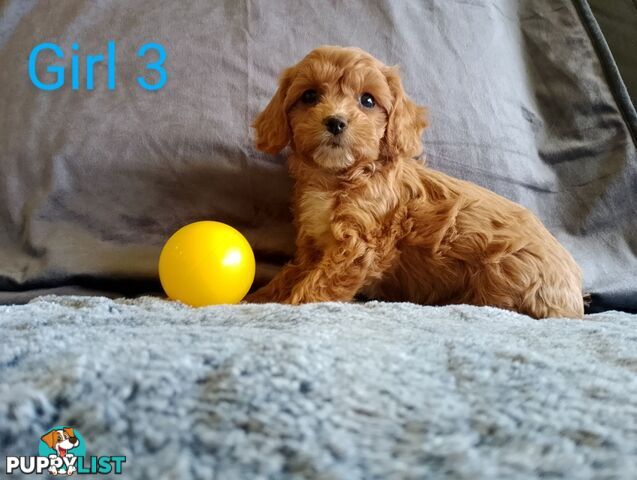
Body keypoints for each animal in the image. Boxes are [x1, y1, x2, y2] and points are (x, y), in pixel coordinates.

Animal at [246, 45, 584, 318]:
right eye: (310, 96)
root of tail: (575, 296)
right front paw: (259, 298)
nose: (335, 121)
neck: (337, 178)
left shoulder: (359, 245)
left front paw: (292, 304)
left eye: (367, 100)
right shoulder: (312, 246)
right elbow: (290, 276)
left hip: (506, 270)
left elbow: (318, 284)